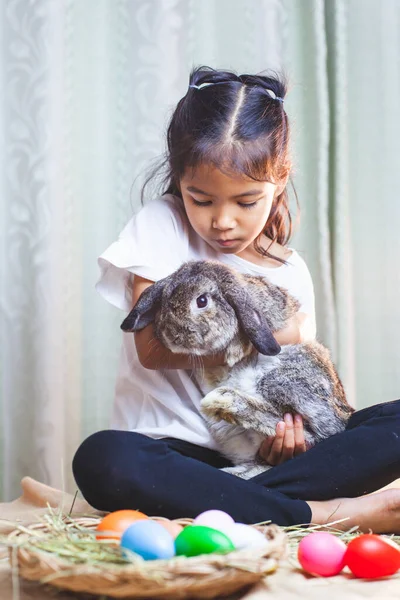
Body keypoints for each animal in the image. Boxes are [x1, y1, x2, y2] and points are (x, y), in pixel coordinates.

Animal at [121, 260, 354, 480]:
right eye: (164, 301)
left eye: (202, 301)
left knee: (320, 433)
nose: (171, 334)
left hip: (281, 382)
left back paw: (222, 401)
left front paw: (235, 349)